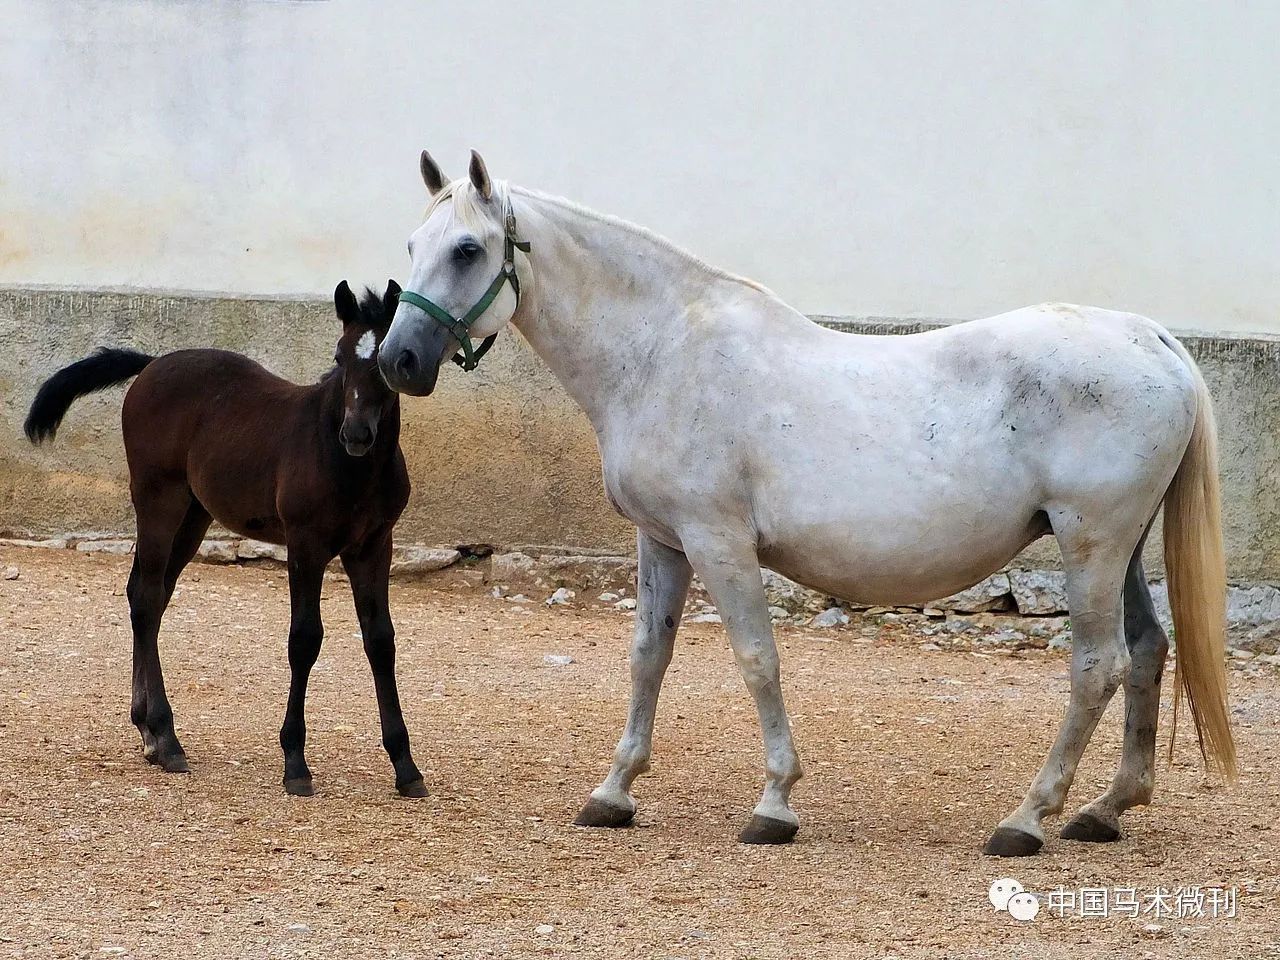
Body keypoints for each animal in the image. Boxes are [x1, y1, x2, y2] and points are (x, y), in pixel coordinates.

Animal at [24, 281, 424, 798]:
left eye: (385, 363)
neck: (349, 465)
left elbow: (381, 640)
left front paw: (405, 765)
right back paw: (166, 737)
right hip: (158, 500)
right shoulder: (306, 543)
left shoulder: (374, 546)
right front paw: (295, 762)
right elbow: (304, 638)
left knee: (148, 597)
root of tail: (152, 364)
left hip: (194, 516)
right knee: (146, 597)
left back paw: (148, 731)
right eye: (338, 355)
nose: (356, 433)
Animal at [381, 150, 1239, 855]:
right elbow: (648, 659)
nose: (397, 360)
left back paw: (1027, 819)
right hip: (1121, 549)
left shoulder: (717, 540)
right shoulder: (663, 543)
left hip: (1090, 543)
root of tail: (1147, 337)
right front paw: (614, 792)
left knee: (1097, 667)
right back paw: (1106, 809)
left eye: (467, 249)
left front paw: (775, 804)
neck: (663, 354)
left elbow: (757, 660)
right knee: (1147, 652)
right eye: (413, 245)